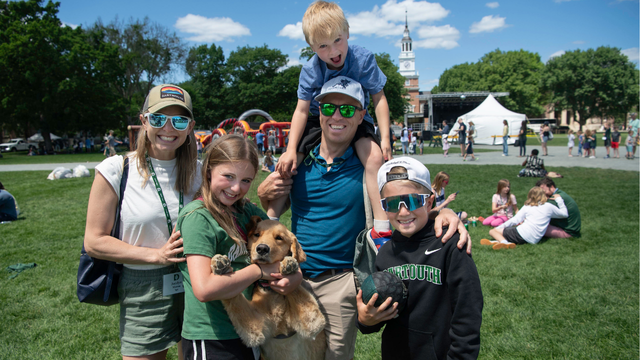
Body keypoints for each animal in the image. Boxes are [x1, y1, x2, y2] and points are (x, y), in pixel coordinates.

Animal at [212, 217, 328, 360]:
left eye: (279, 238)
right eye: (256, 234)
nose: (262, 249)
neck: (272, 293)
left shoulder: (313, 323)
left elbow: (294, 289)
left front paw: (289, 263)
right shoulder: (254, 331)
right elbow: (233, 296)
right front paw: (221, 266)